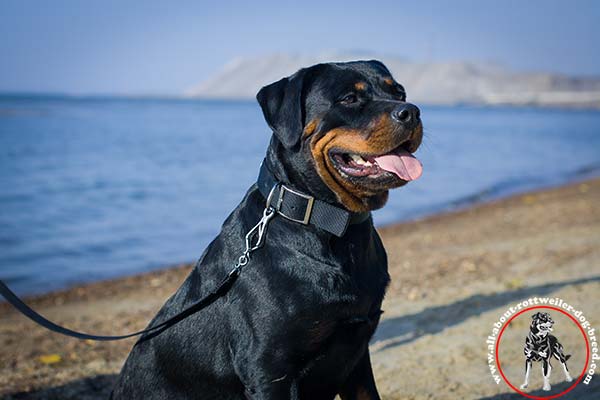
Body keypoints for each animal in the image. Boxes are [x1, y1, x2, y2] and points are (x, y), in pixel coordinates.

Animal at [110, 60, 424, 400]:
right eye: (349, 99)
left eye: (399, 92)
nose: (411, 111)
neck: (330, 226)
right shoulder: (268, 370)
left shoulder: (356, 354)